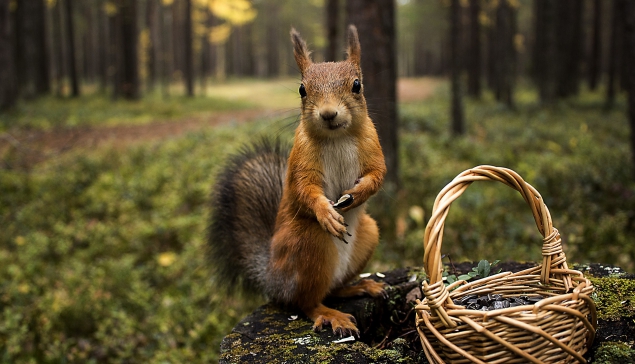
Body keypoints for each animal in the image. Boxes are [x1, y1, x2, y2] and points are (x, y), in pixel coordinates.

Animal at [210, 26, 388, 338]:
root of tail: (273, 279)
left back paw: (361, 286)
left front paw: (359, 192)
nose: (328, 114)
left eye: (357, 85)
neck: (337, 137)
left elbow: (378, 175)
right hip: (308, 243)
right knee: (306, 302)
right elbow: (305, 189)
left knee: (333, 289)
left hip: (368, 234)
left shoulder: (373, 146)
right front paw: (326, 213)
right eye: (302, 89)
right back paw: (330, 314)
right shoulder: (301, 161)